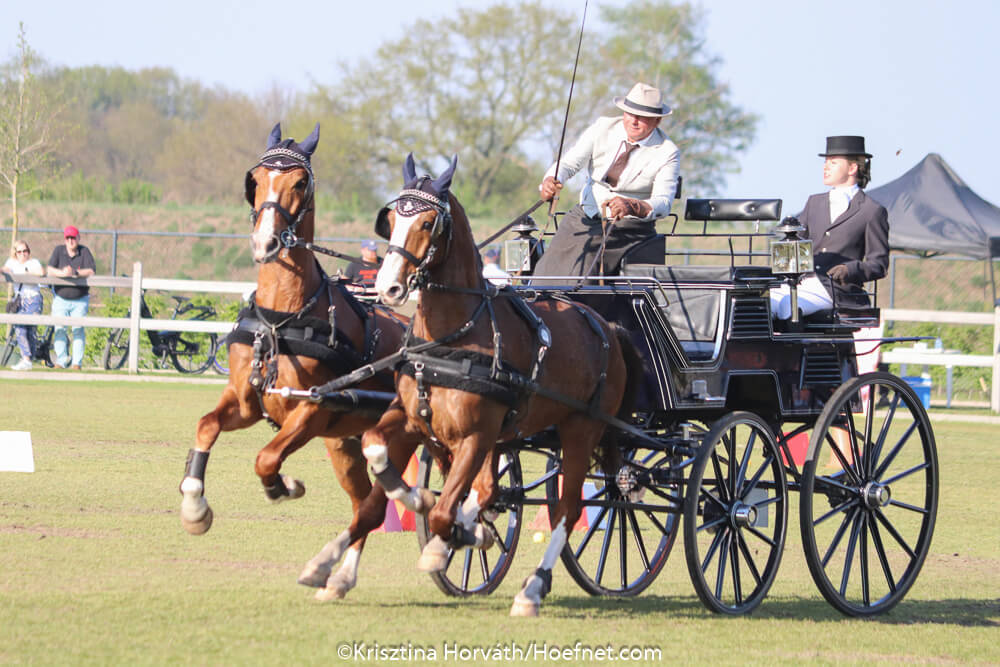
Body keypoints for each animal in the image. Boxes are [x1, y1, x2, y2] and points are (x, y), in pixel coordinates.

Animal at [178, 123, 408, 601]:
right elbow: (207, 426)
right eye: (255, 179)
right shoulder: (246, 400)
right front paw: (195, 509)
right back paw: (339, 578)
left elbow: (266, 458)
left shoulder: (310, 410)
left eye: (300, 182)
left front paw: (284, 487)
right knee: (363, 504)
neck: (281, 318)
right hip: (345, 445)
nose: (265, 242)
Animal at [350, 153, 636, 616]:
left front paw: (454, 536)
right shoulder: (418, 420)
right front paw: (420, 503)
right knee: (497, 490)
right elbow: (379, 447)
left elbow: (449, 510)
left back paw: (533, 588)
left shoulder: (477, 434)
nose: (387, 287)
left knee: (567, 507)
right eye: (391, 219)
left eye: (428, 222)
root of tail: (605, 324)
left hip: (582, 428)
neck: (453, 337)